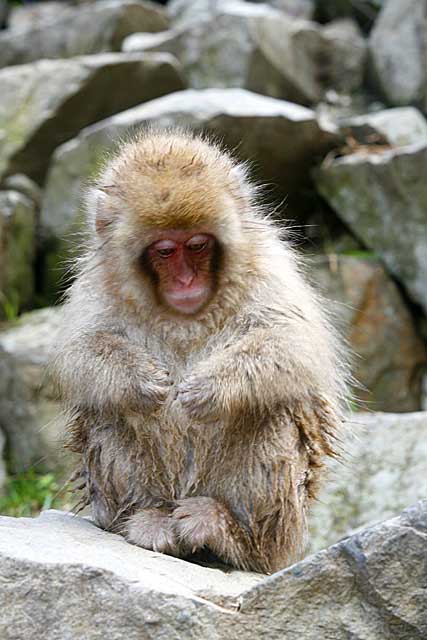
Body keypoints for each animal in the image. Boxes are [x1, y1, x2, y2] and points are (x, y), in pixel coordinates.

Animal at [51, 127, 350, 572]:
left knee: (276, 409)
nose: (186, 282)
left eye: (196, 245)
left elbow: (295, 342)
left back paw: (233, 535)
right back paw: (147, 518)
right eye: (164, 251)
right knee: (107, 411)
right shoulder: (96, 281)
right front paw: (141, 382)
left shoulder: (268, 263)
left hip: (284, 522)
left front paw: (210, 388)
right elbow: (79, 353)